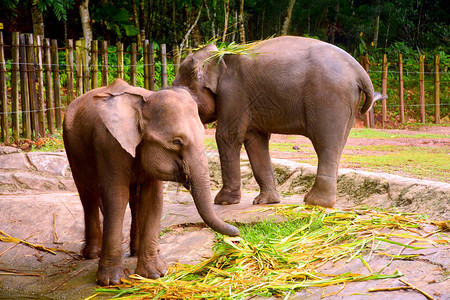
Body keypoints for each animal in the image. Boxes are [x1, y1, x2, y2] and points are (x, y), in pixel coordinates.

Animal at [63, 78, 241, 284]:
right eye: (176, 142)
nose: (238, 234)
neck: (143, 102)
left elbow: (153, 199)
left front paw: (155, 275)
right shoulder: (109, 145)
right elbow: (116, 197)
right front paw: (111, 281)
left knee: (134, 200)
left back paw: (139, 250)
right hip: (72, 147)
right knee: (88, 195)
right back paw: (92, 254)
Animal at [172, 35, 384, 209]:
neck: (221, 56)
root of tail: (359, 71)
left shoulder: (233, 93)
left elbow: (228, 136)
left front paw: (223, 202)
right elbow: (255, 141)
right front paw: (265, 202)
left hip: (329, 98)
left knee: (325, 144)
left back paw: (315, 202)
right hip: (346, 104)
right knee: (335, 145)